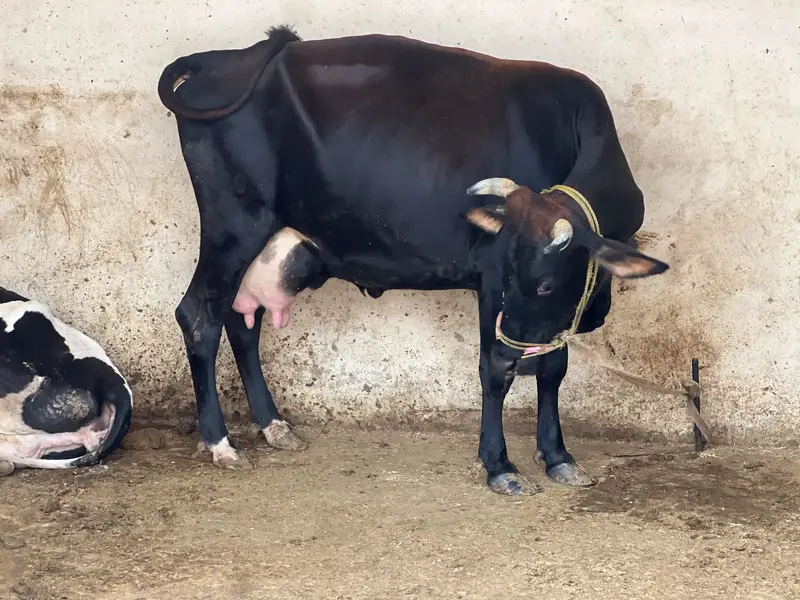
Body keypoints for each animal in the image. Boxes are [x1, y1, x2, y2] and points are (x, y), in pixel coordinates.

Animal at [157, 26, 669, 495]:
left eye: (543, 284)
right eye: (509, 273)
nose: (514, 349)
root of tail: (226, 56)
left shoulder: (554, 310)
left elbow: (553, 369)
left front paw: (558, 456)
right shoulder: (489, 276)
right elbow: (493, 371)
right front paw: (500, 465)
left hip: (270, 246)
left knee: (243, 322)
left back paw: (273, 426)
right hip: (233, 225)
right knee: (199, 316)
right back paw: (221, 443)